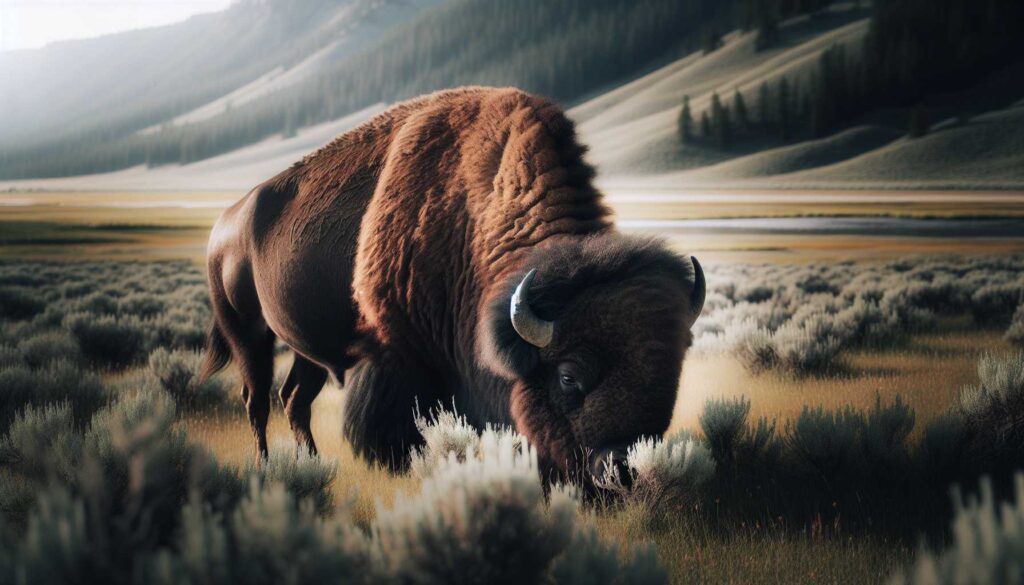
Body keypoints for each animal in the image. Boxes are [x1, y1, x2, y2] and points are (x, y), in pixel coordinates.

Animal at [200, 87, 704, 480]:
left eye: (671, 375)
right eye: (567, 376)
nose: (620, 470)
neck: (470, 213)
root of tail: (224, 222)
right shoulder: (397, 357)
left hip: (307, 352)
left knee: (294, 400)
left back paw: (311, 462)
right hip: (247, 333)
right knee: (256, 400)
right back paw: (268, 467)